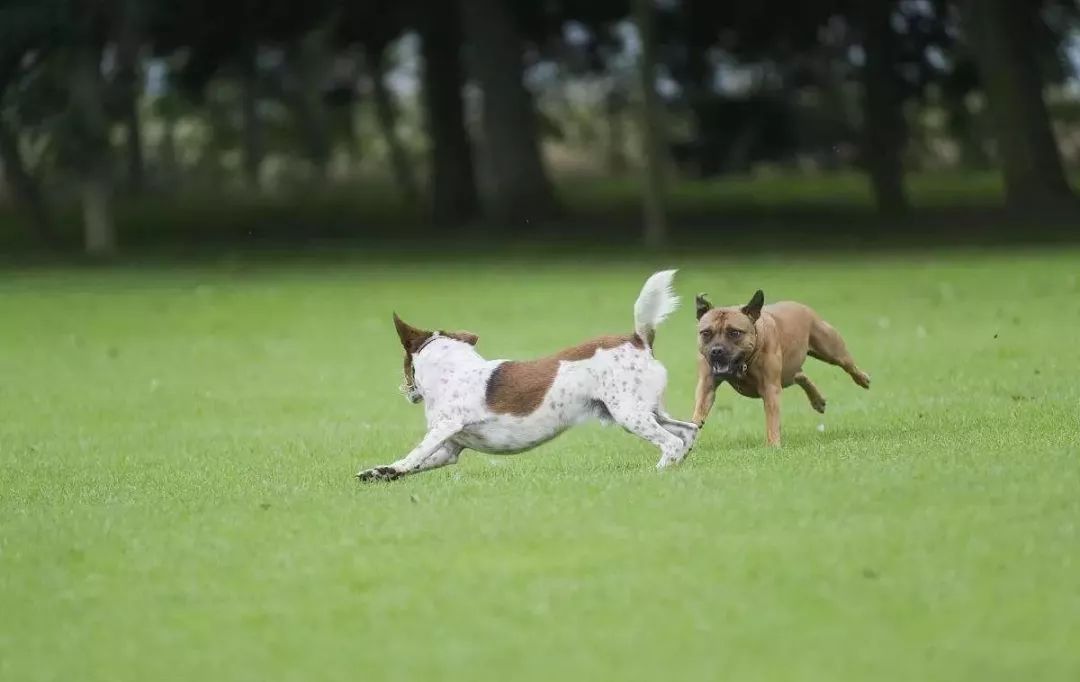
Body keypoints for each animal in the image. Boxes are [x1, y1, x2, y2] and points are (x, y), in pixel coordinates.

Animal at [358, 269, 699, 482]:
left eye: (406, 365)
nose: (404, 389)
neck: (452, 370)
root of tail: (638, 339)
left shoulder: (444, 428)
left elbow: (413, 454)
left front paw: (393, 468)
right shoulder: (450, 449)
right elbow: (413, 463)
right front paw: (379, 473)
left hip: (629, 414)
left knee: (670, 442)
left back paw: (658, 472)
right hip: (647, 410)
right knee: (688, 431)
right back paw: (679, 465)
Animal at [691, 289, 868, 445]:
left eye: (734, 333)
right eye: (706, 333)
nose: (716, 350)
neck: (744, 363)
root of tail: (801, 306)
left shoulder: (770, 388)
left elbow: (772, 419)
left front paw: (773, 445)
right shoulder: (707, 385)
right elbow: (700, 405)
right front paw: (693, 426)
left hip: (831, 350)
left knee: (848, 365)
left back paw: (863, 379)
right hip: (790, 372)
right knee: (800, 375)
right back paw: (817, 400)